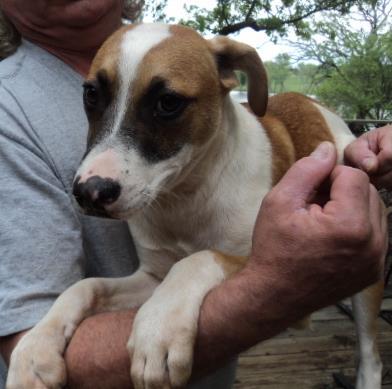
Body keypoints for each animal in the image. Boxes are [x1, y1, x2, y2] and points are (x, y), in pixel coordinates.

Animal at [6, 23, 384, 388]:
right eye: (92, 94)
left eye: (168, 102)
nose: (90, 192)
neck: (183, 197)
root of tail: (316, 104)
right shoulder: (152, 277)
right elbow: (86, 286)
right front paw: (35, 348)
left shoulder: (268, 258)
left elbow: (198, 259)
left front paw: (158, 328)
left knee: (371, 356)